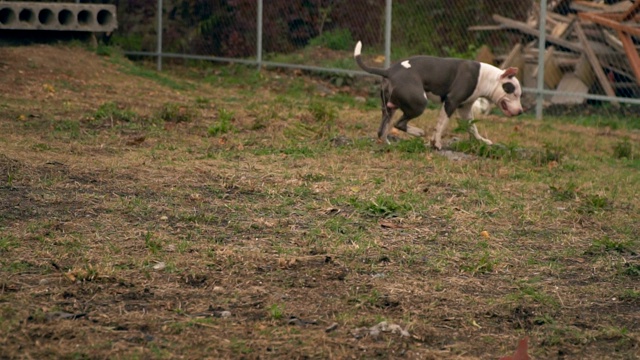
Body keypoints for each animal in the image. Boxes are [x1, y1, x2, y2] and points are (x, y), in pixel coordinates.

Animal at [352, 40, 524, 149]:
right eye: (514, 92)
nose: (521, 111)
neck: (485, 77)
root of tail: (389, 70)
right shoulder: (451, 102)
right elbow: (442, 124)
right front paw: (437, 144)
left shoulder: (464, 109)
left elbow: (472, 127)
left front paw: (482, 141)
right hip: (419, 103)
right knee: (399, 124)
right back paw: (418, 132)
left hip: (389, 107)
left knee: (382, 130)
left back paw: (388, 143)